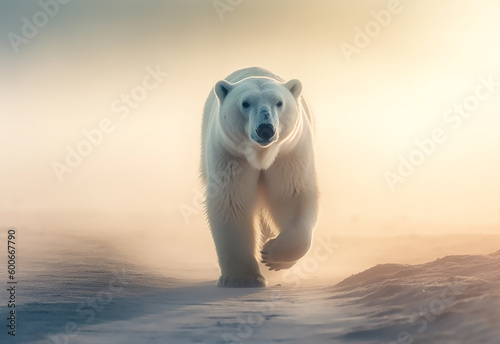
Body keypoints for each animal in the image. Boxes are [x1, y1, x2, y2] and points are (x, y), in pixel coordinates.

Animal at [201, 67, 318, 288]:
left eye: (279, 102)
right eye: (245, 103)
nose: (265, 129)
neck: (261, 155)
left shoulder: (288, 154)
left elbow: (291, 196)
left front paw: (272, 256)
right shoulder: (232, 157)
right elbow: (233, 203)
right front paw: (241, 279)